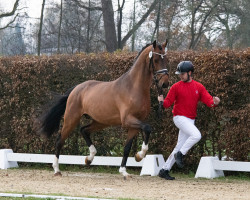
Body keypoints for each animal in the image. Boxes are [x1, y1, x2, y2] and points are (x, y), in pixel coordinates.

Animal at [37, 39, 169, 178]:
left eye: (166, 59)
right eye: (156, 60)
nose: (165, 83)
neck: (133, 87)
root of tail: (76, 88)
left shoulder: (135, 123)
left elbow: (128, 147)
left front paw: (129, 166)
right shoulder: (127, 120)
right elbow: (148, 128)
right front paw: (138, 156)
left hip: (101, 122)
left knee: (84, 130)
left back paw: (89, 159)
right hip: (71, 119)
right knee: (60, 140)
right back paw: (57, 169)